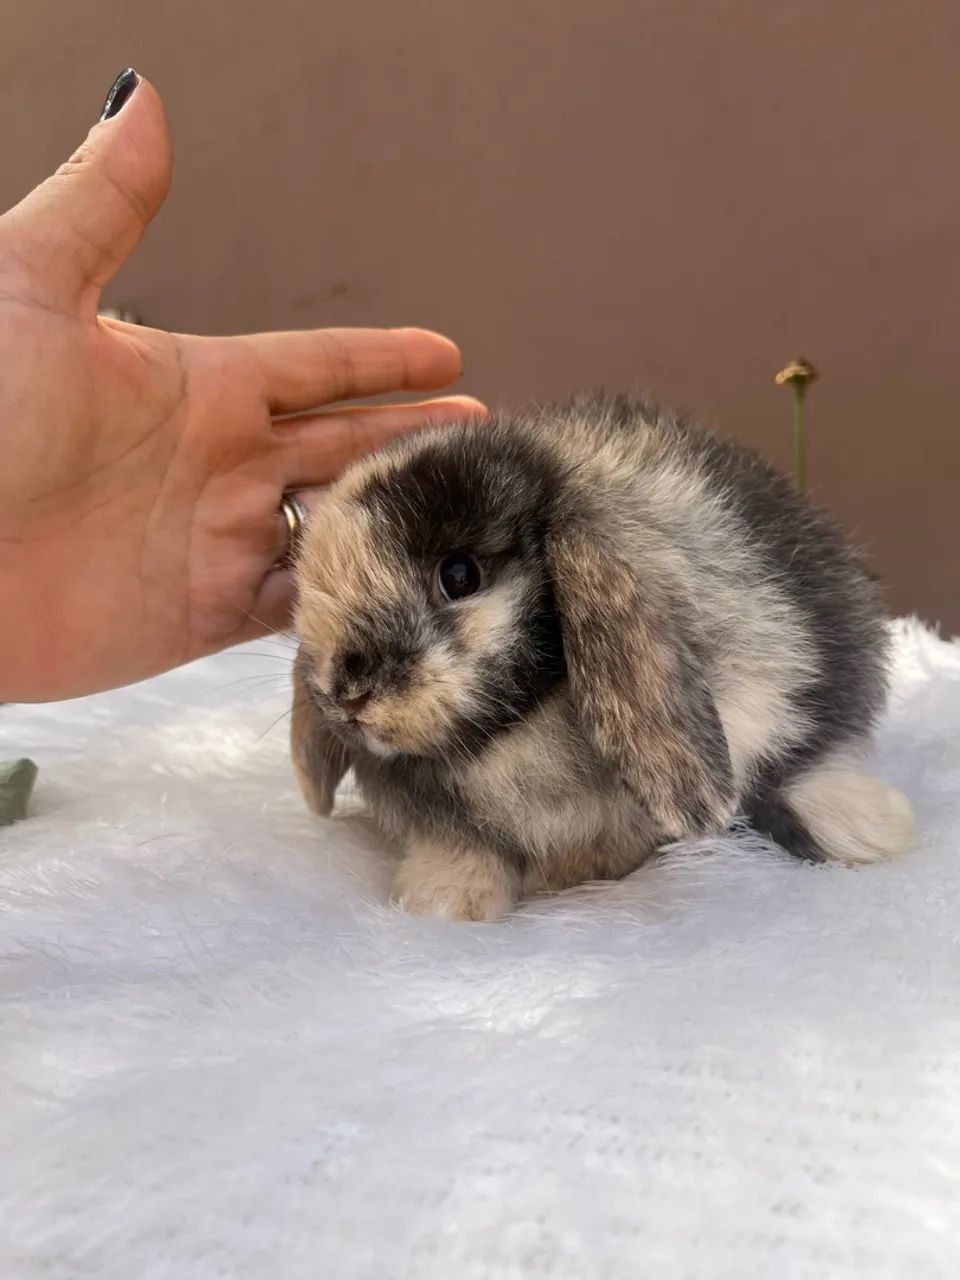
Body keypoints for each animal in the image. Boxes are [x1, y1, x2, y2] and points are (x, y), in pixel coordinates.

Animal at [290, 392, 915, 921]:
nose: (346, 696)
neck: (514, 733)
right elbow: (464, 850)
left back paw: (873, 826)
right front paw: (443, 903)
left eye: (459, 575)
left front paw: (560, 880)